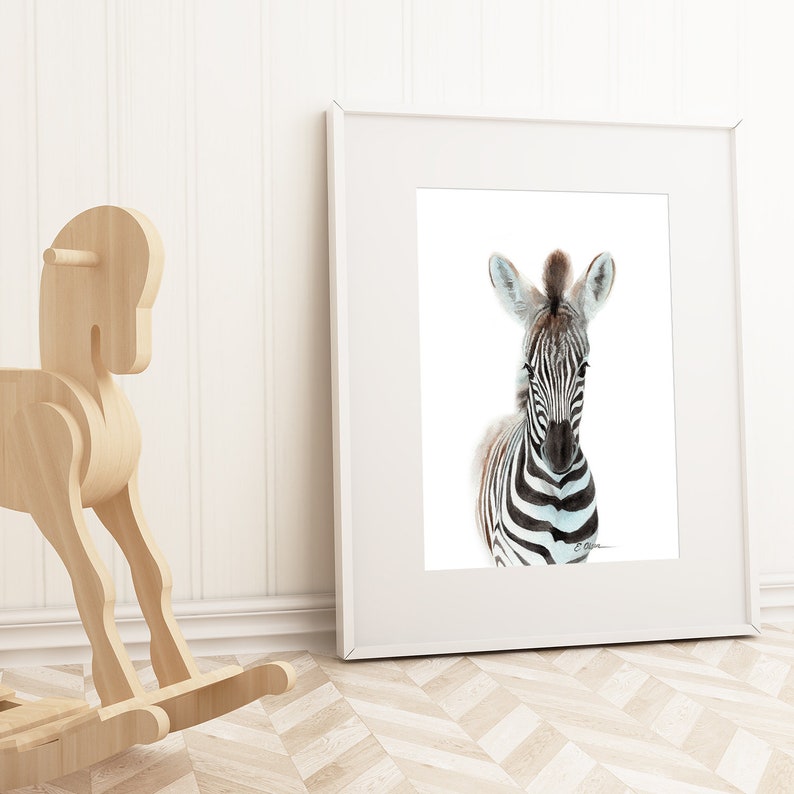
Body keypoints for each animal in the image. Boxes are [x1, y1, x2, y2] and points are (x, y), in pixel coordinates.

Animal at [475, 249, 615, 565]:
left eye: (583, 369)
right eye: (529, 369)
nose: (559, 455)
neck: (558, 495)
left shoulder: (578, 559)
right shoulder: (507, 559)